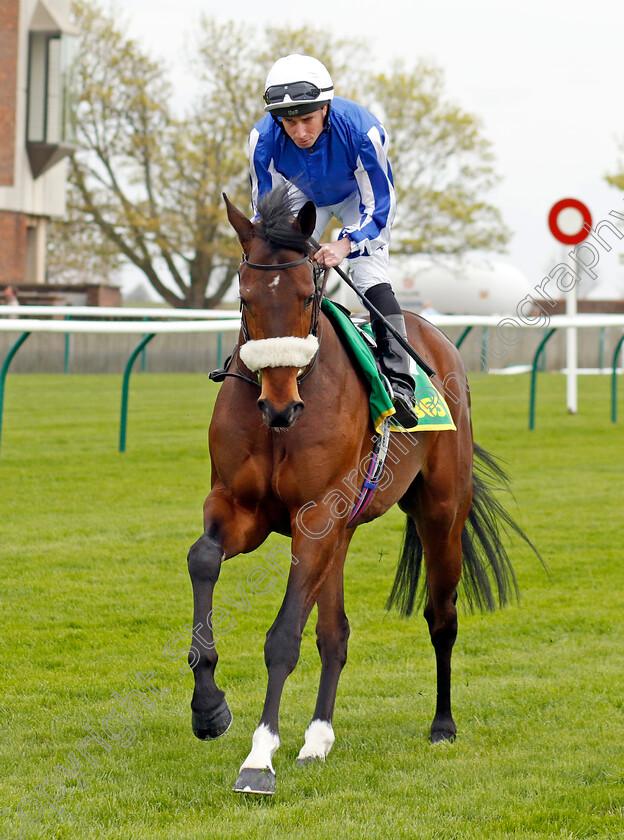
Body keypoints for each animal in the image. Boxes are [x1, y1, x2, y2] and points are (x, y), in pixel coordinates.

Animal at [186, 184, 536, 796]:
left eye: (307, 295)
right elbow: (203, 558)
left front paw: (259, 758)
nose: (280, 406)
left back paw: (442, 724)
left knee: (441, 617)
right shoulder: (240, 508)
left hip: (439, 514)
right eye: (245, 298)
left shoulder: (313, 518)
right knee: (335, 633)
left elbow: (283, 638)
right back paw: (317, 740)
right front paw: (209, 707)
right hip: (342, 533)